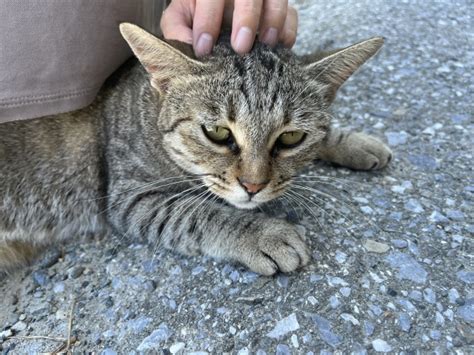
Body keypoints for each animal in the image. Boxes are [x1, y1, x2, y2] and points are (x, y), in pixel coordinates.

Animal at [0, 23, 392, 276]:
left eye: (291, 138)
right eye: (217, 132)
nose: (253, 185)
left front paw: (352, 142)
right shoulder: (131, 197)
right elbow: (197, 213)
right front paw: (263, 232)